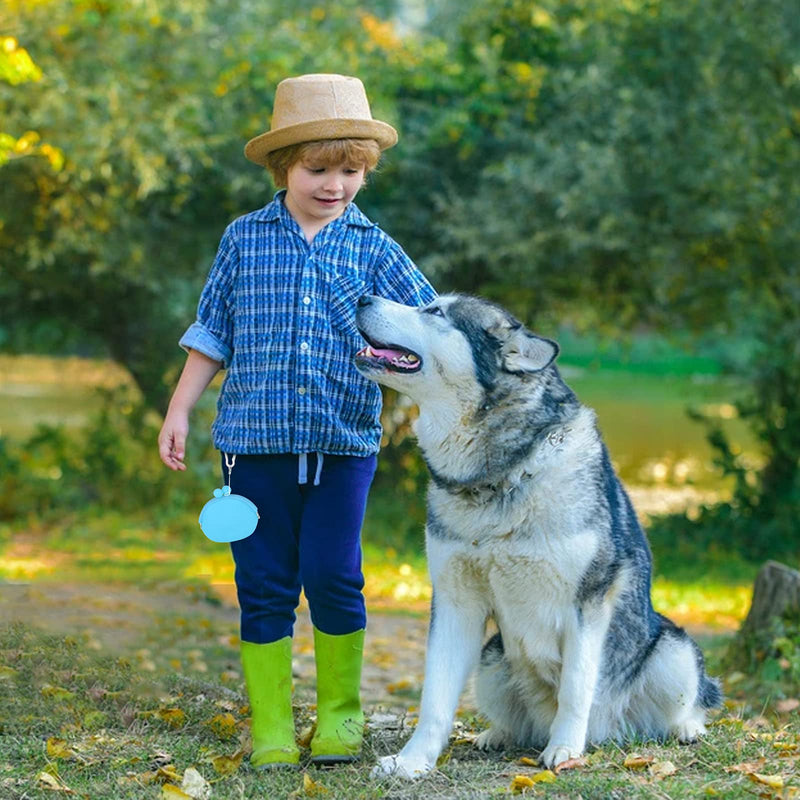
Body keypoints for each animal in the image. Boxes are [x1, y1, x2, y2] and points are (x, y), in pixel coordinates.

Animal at [354, 290, 720, 780]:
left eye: (434, 312)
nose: (362, 296)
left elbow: (576, 687)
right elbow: (435, 699)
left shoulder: (589, 601)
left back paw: (683, 728)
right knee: (514, 719)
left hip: (672, 650)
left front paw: (564, 750)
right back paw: (498, 734)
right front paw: (413, 761)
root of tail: (608, 733)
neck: (501, 477)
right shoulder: (454, 600)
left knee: (684, 704)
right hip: (492, 658)